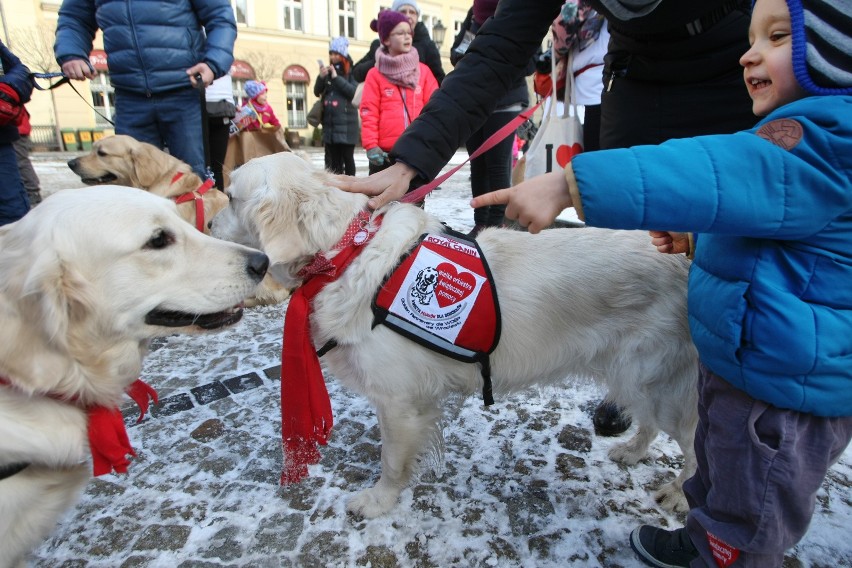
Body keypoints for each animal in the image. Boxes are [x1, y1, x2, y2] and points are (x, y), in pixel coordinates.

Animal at [211, 151, 700, 520]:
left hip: (663, 381)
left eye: (231, 198)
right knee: (650, 423)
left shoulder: (400, 400)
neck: (345, 253)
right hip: (640, 376)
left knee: (697, 451)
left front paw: (378, 502)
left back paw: (679, 495)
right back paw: (632, 451)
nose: (209, 225)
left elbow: (392, 461)